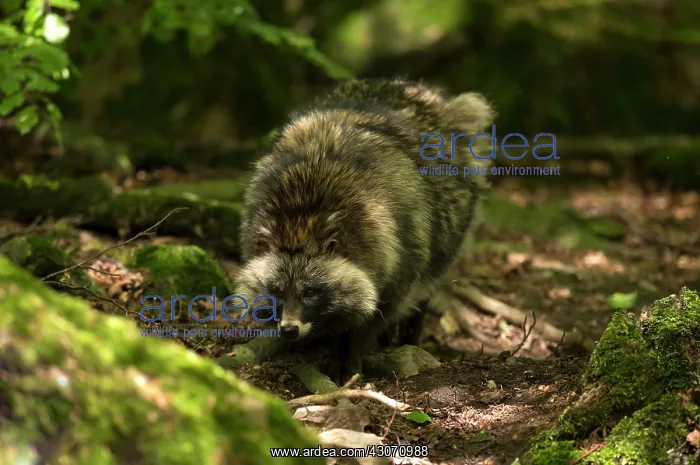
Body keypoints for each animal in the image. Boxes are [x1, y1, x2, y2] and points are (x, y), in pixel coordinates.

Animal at [235, 78, 495, 383]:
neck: (302, 217)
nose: (289, 330)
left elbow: (376, 313)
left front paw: (351, 357)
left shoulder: (399, 246)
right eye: (276, 290)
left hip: (451, 224)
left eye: (311, 291)